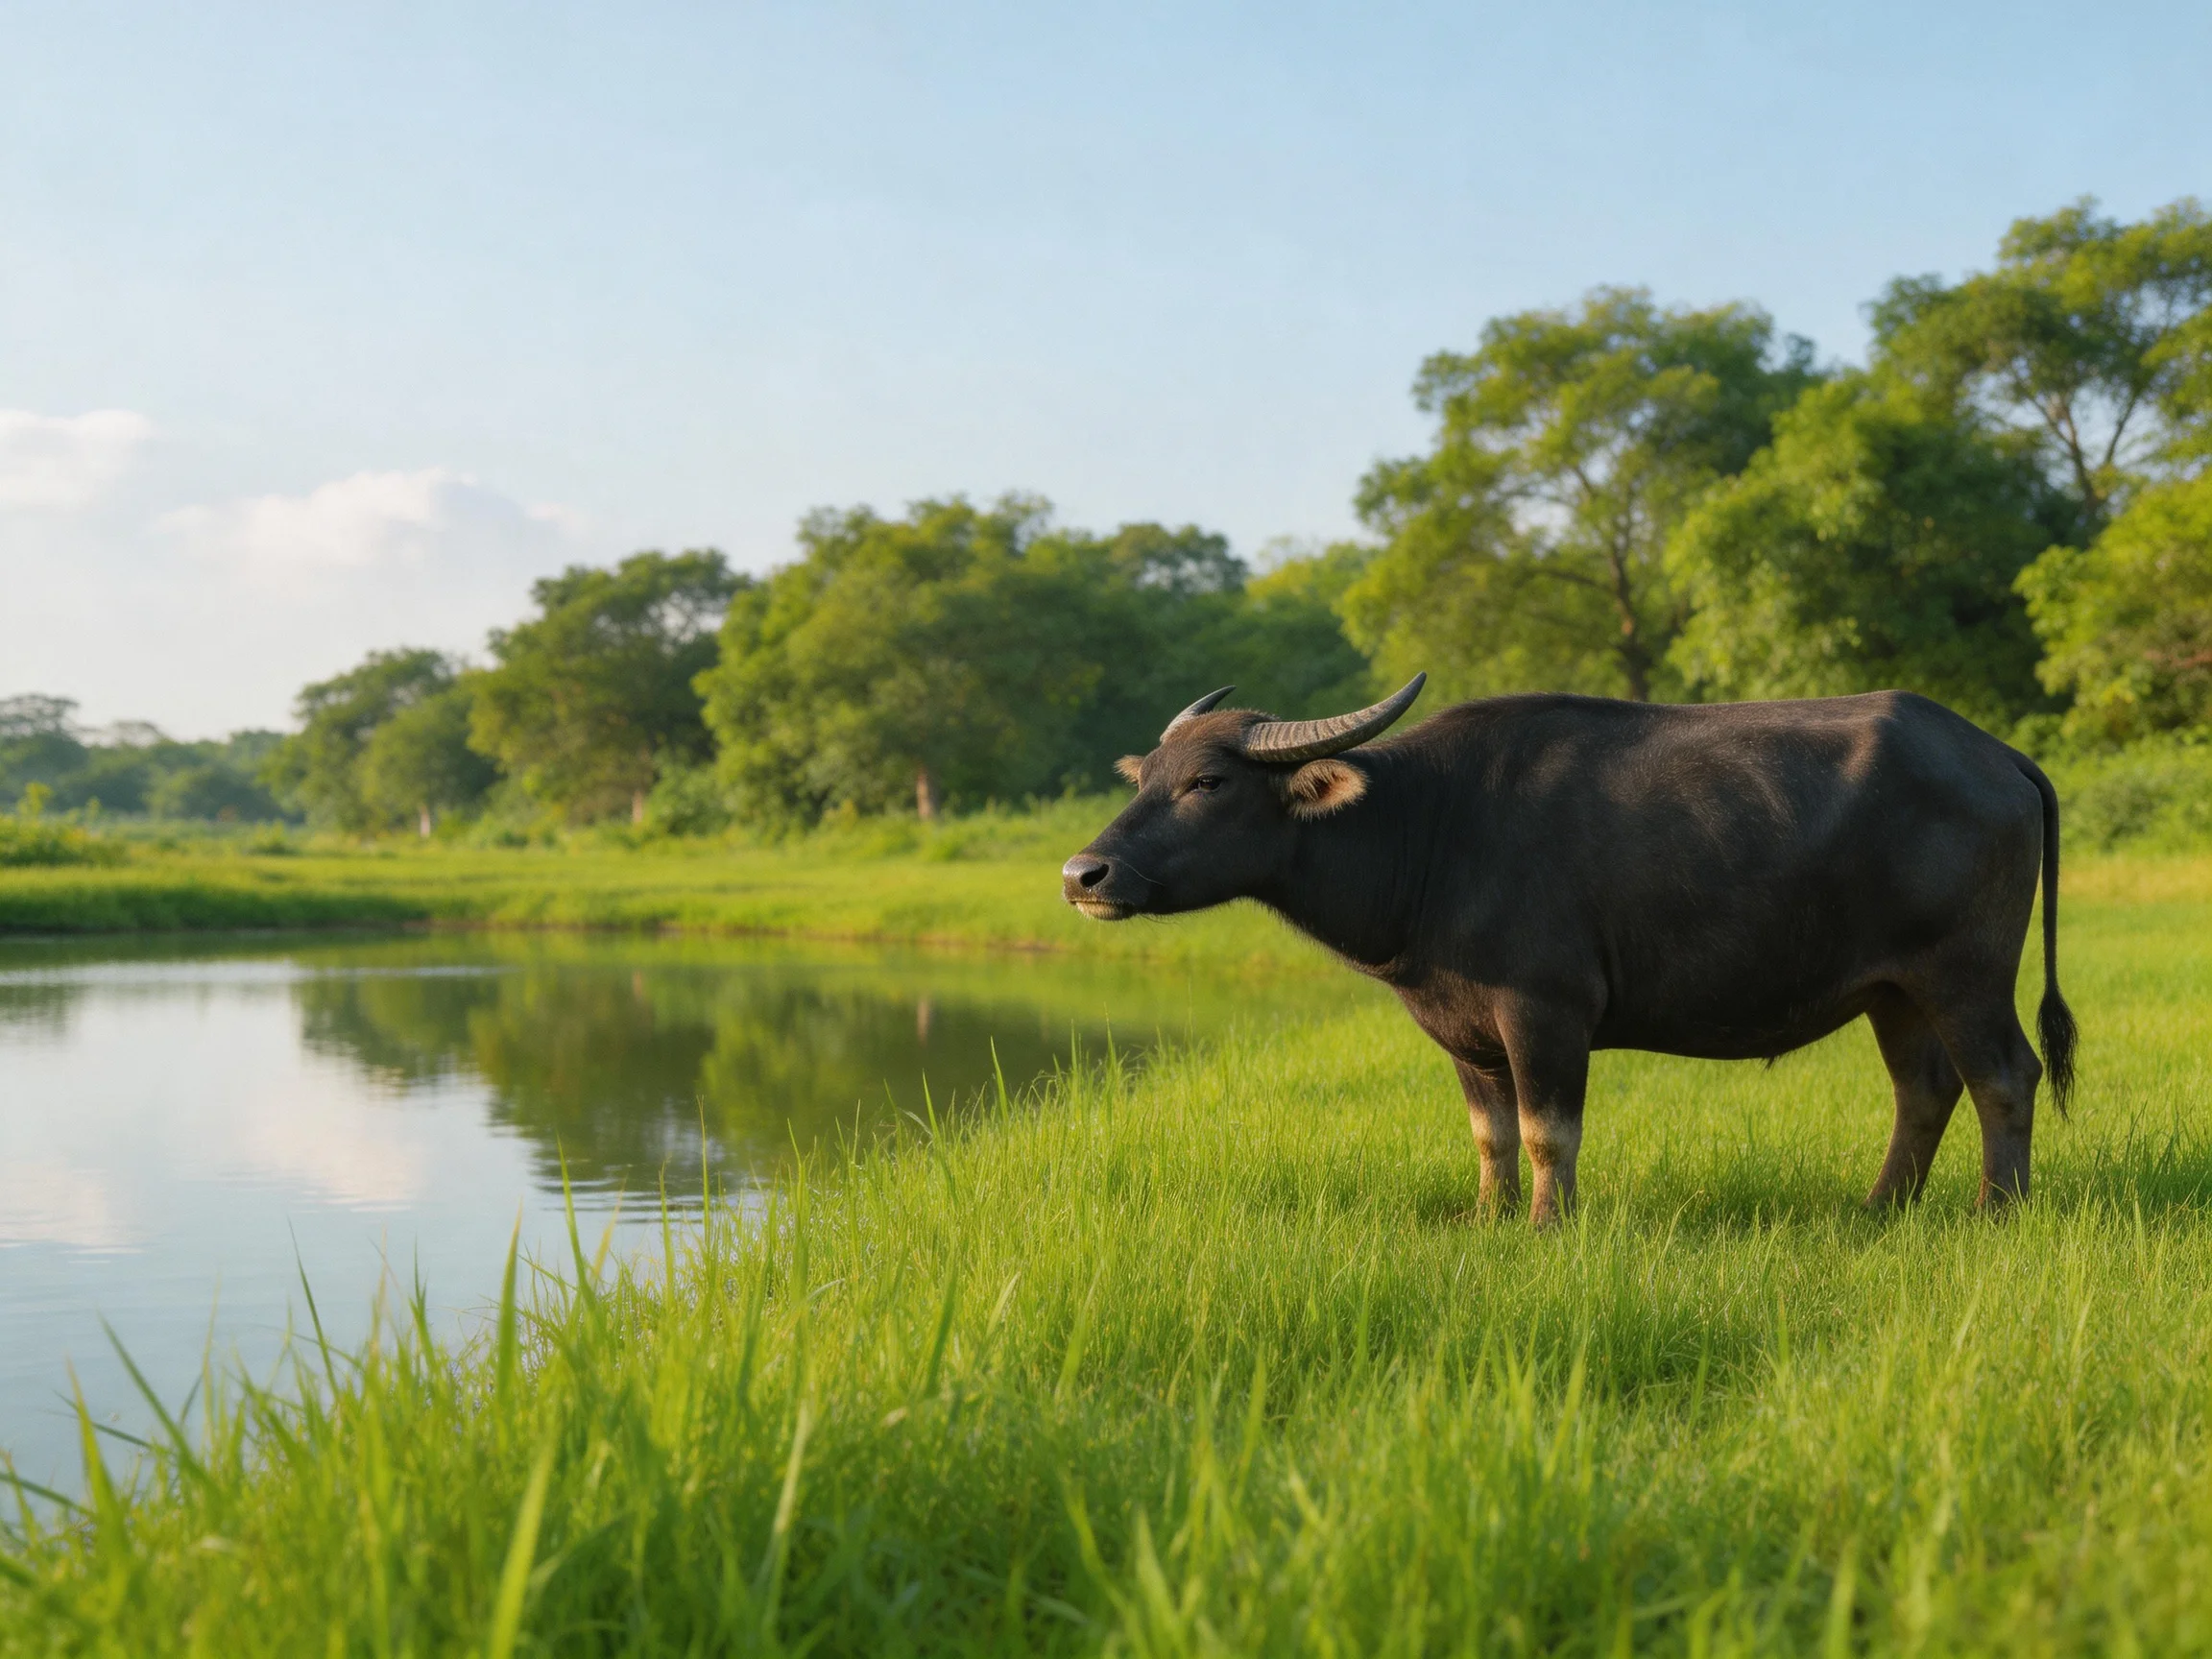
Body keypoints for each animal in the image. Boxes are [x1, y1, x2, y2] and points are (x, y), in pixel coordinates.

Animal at [1062, 677, 2076, 1226]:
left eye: (1208, 781)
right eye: (1145, 778)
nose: (1084, 874)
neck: (1429, 833)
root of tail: (1997, 757)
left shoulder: (1544, 1012)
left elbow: (1551, 1131)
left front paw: (1550, 1226)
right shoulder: (1468, 1034)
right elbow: (1493, 1136)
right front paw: (1490, 1218)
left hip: (1966, 973)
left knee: (2005, 1076)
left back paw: (1996, 1210)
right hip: (1893, 989)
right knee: (1924, 1089)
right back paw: (1878, 1208)